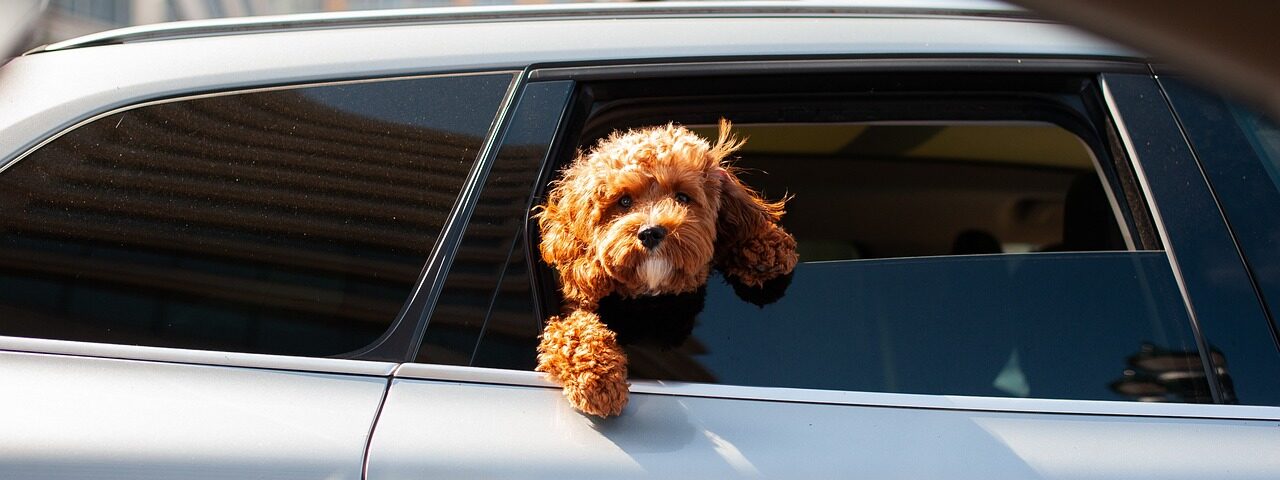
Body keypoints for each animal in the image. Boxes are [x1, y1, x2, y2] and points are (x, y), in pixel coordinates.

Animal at [535, 120, 793, 417]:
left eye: (682, 197)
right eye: (624, 201)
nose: (650, 233)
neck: (652, 296)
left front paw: (766, 245)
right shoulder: (571, 312)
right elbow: (572, 332)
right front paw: (598, 381)